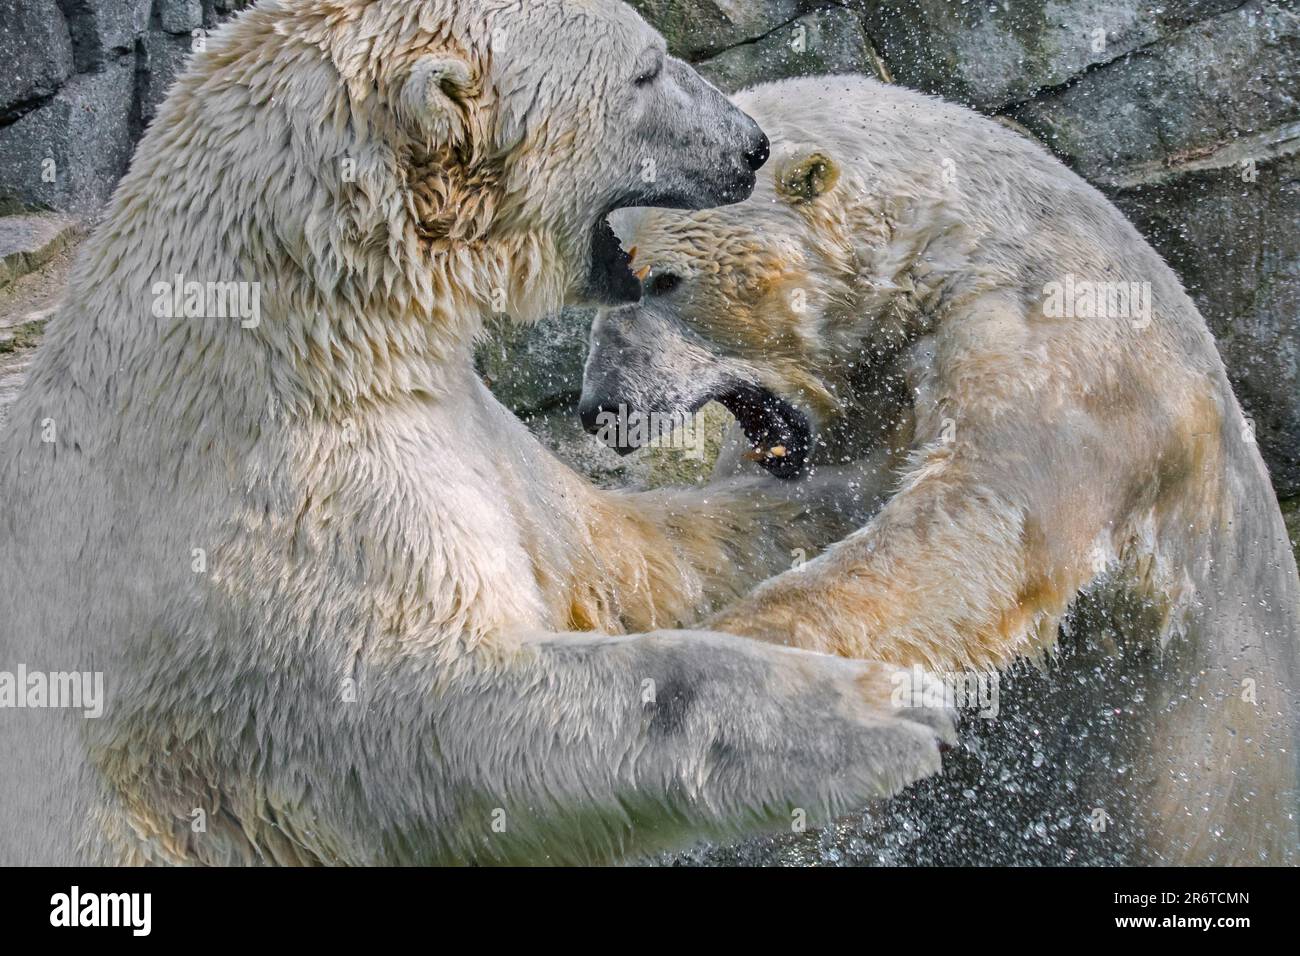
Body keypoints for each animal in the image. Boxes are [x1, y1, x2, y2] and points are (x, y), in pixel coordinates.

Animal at [0, 3, 956, 868]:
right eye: (646, 69)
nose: (752, 145)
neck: (302, 330)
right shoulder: (279, 503)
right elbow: (440, 713)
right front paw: (881, 707)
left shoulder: (461, 422)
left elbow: (623, 554)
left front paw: (866, 476)